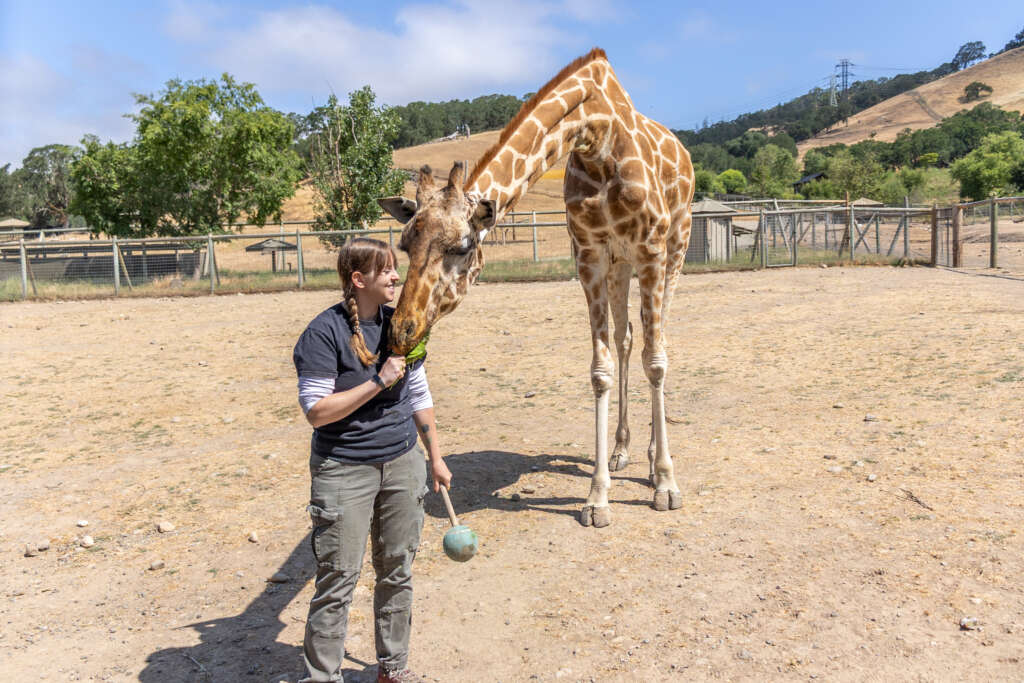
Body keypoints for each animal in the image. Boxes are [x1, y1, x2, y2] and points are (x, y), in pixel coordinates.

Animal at [380, 48, 694, 528]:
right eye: (404, 243)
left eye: (462, 246)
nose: (401, 331)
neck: (596, 136)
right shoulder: (590, 255)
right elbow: (600, 368)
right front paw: (597, 497)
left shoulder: (653, 249)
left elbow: (657, 362)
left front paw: (665, 484)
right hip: (621, 266)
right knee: (625, 341)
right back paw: (621, 450)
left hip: (675, 248)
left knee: (653, 345)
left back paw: (650, 456)